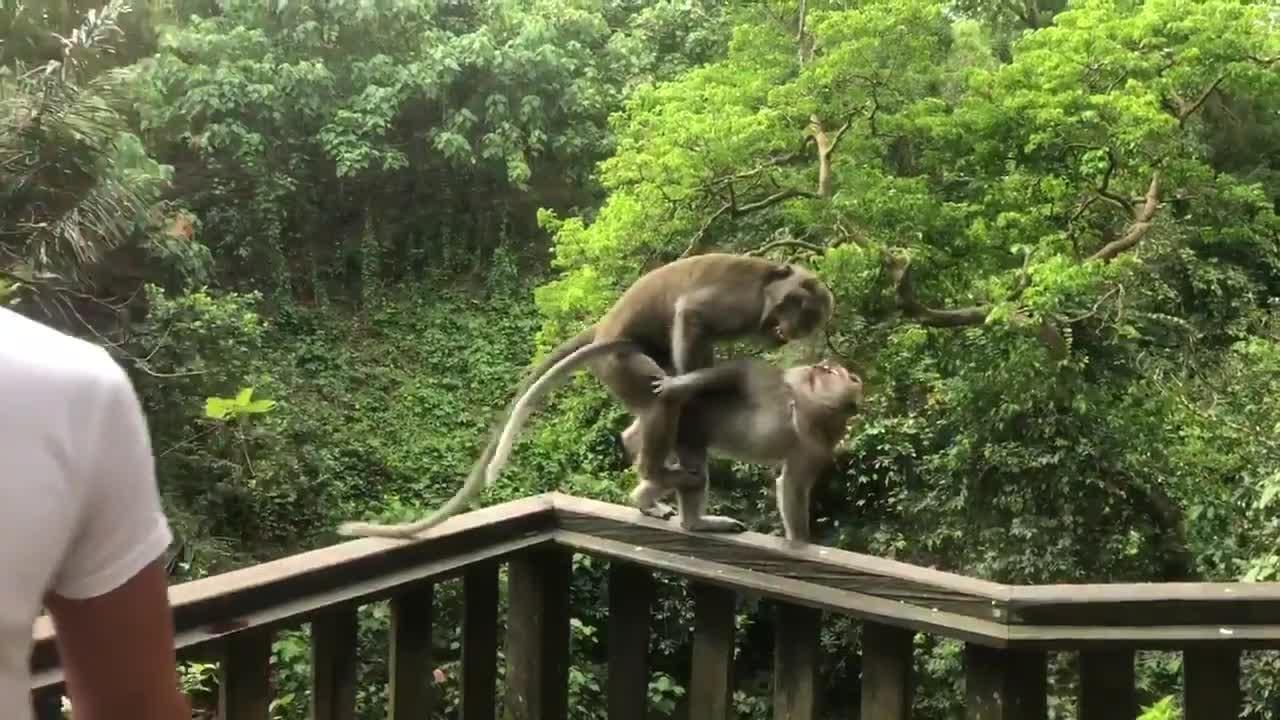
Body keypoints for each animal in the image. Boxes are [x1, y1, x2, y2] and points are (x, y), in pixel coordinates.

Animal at [336, 252, 835, 539]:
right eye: (797, 303)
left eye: (808, 318)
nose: (790, 327)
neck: (767, 292)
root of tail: (603, 329)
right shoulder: (740, 303)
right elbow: (690, 315)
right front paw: (693, 381)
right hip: (618, 361)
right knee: (660, 400)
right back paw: (658, 467)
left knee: (647, 411)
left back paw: (644, 467)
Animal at [624, 356, 864, 542]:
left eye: (831, 371)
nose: (821, 364)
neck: (810, 407)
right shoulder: (788, 386)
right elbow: (740, 374)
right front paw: (676, 384)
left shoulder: (817, 445)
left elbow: (793, 484)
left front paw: (799, 539)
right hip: (680, 428)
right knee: (691, 470)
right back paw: (694, 521)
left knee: (688, 473)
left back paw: (647, 502)